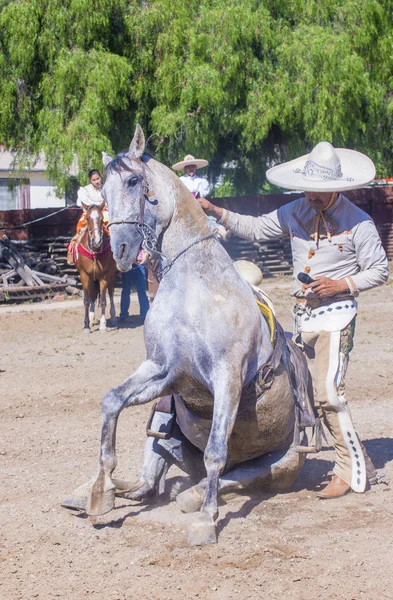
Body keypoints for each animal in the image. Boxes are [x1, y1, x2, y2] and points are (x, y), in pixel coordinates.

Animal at [73, 202, 116, 332]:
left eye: (102, 219)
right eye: (87, 218)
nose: (97, 241)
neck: (95, 253)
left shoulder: (104, 276)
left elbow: (103, 300)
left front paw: (103, 325)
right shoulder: (84, 276)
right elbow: (87, 300)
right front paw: (87, 325)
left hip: (112, 275)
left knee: (111, 293)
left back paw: (113, 317)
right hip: (92, 278)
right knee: (92, 295)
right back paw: (92, 320)